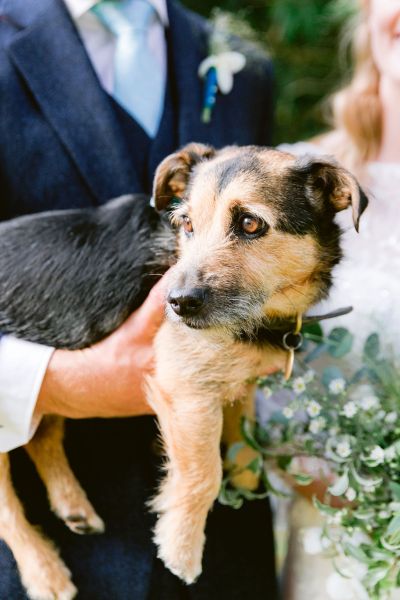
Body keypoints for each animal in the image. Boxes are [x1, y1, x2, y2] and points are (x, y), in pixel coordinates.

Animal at [0, 143, 366, 596]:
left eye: (250, 223)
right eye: (186, 224)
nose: (175, 303)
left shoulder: (230, 377)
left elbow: (243, 421)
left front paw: (245, 474)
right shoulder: (185, 387)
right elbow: (202, 471)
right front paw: (181, 547)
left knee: (42, 434)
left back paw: (73, 506)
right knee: (7, 507)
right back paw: (45, 573)